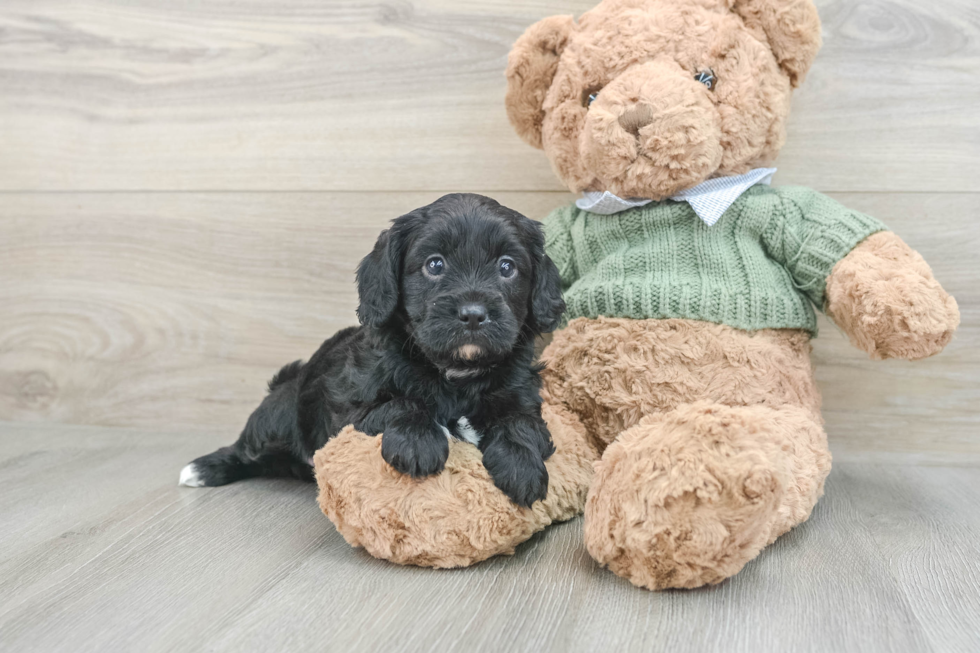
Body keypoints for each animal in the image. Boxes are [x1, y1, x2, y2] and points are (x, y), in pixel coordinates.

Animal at [180, 194, 568, 510]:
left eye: (507, 267)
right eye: (434, 264)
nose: (473, 314)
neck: (455, 372)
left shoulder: (523, 397)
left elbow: (520, 423)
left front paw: (521, 465)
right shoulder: (352, 411)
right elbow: (401, 403)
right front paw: (417, 443)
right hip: (280, 414)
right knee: (247, 446)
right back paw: (203, 468)